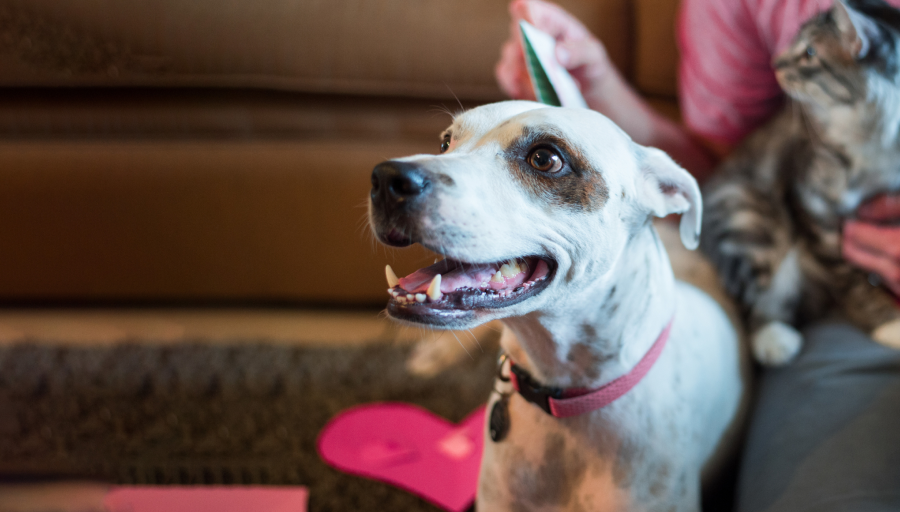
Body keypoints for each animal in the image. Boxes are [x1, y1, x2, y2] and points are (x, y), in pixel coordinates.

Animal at [700, 1, 900, 368]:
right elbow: (850, 278)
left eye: (809, 53)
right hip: (747, 216)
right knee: (753, 296)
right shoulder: (813, 201)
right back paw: (773, 338)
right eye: (796, 45)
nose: (775, 63)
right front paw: (887, 322)